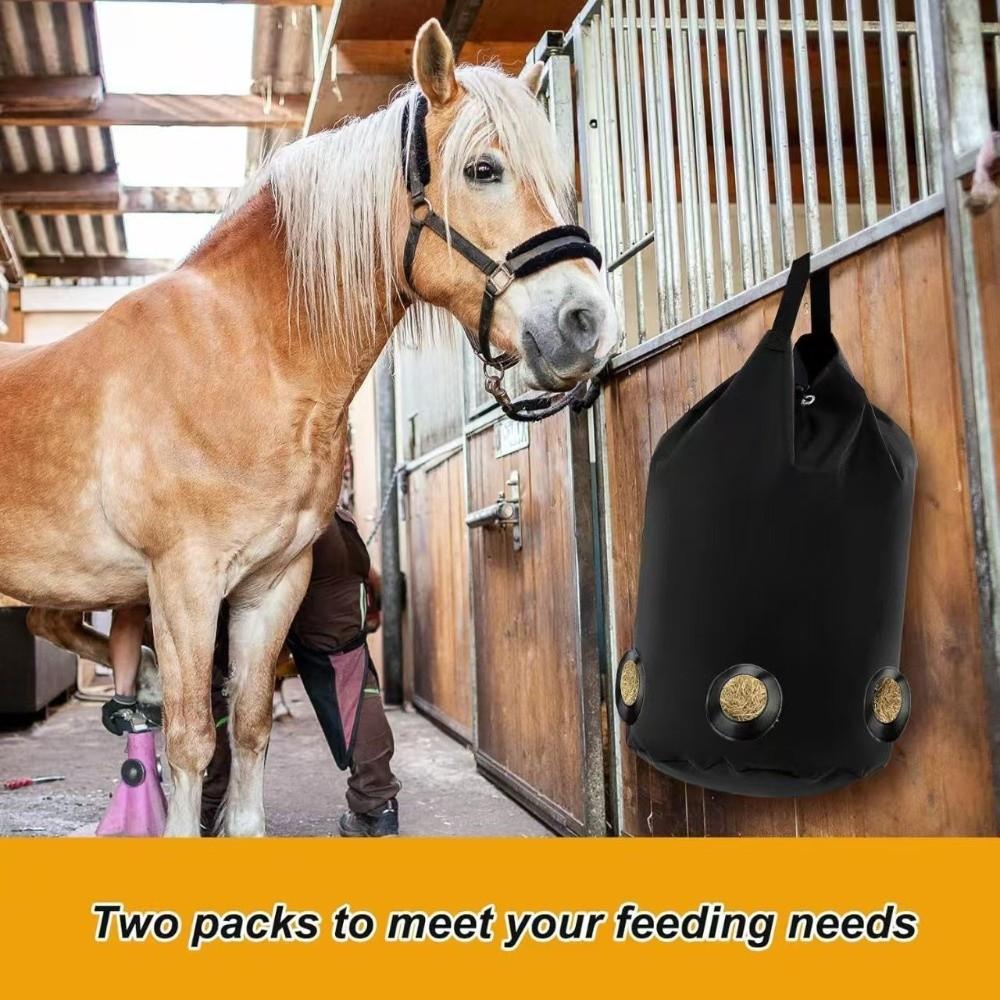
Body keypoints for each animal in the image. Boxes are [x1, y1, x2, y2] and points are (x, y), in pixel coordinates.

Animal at [0, 19, 617, 836]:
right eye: (483, 169)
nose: (588, 323)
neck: (239, 354)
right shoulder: (184, 583)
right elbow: (191, 736)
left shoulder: (271, 585)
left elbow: (250, 719)